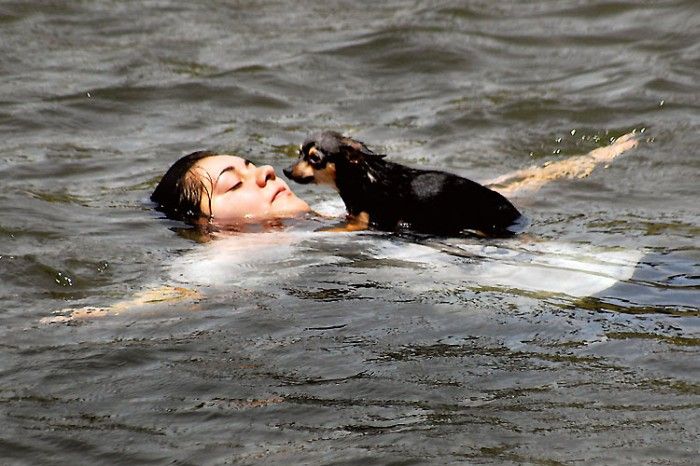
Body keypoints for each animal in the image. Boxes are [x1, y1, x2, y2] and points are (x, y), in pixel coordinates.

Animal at [282, 131, 524, 237]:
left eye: (315, 159)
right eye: (299, 154)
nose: (286, 171)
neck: (365, 181)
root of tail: (515, 212)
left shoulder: (372, 222)